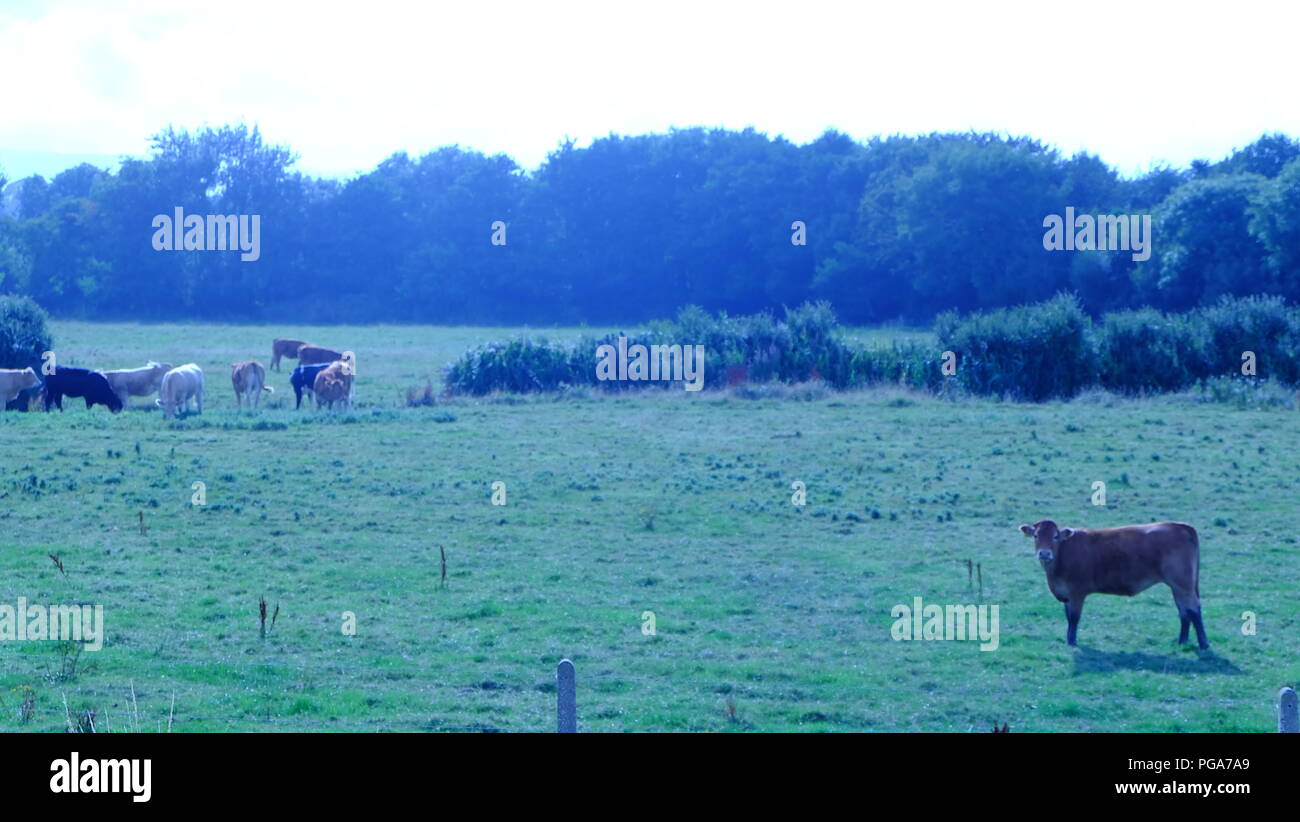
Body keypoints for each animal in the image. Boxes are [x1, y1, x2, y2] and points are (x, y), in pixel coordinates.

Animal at [1013, 520, 1206, 647]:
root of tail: (1180, 526)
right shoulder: (1066, 594)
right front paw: (1068, 639)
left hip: (1183, 584)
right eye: (1036, 535)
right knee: (1183, 611)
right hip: (1177, 586)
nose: (1044, 553)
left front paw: (1072, 642)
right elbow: (1068, 617)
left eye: (1055, 536)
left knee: (1193, 609)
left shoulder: (1077, 593)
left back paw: (1204, 644)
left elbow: (1074, 618)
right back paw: (1182, 642)